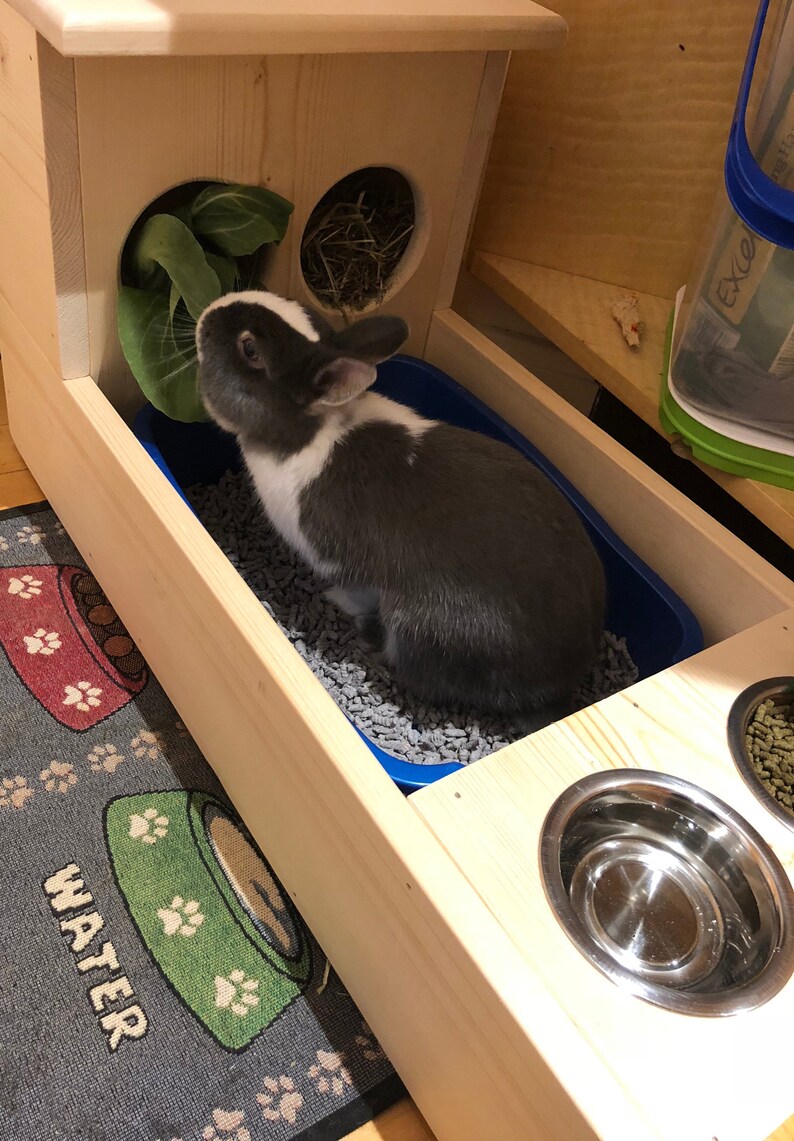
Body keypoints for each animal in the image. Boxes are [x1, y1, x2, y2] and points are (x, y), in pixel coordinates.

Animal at [196, 289, 606, 729]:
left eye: (250, 349)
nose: (208, 311)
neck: (311, 427)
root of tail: (555, 691)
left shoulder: (337, 558)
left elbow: (356, 588)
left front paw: (337, 599)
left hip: (419, 631)